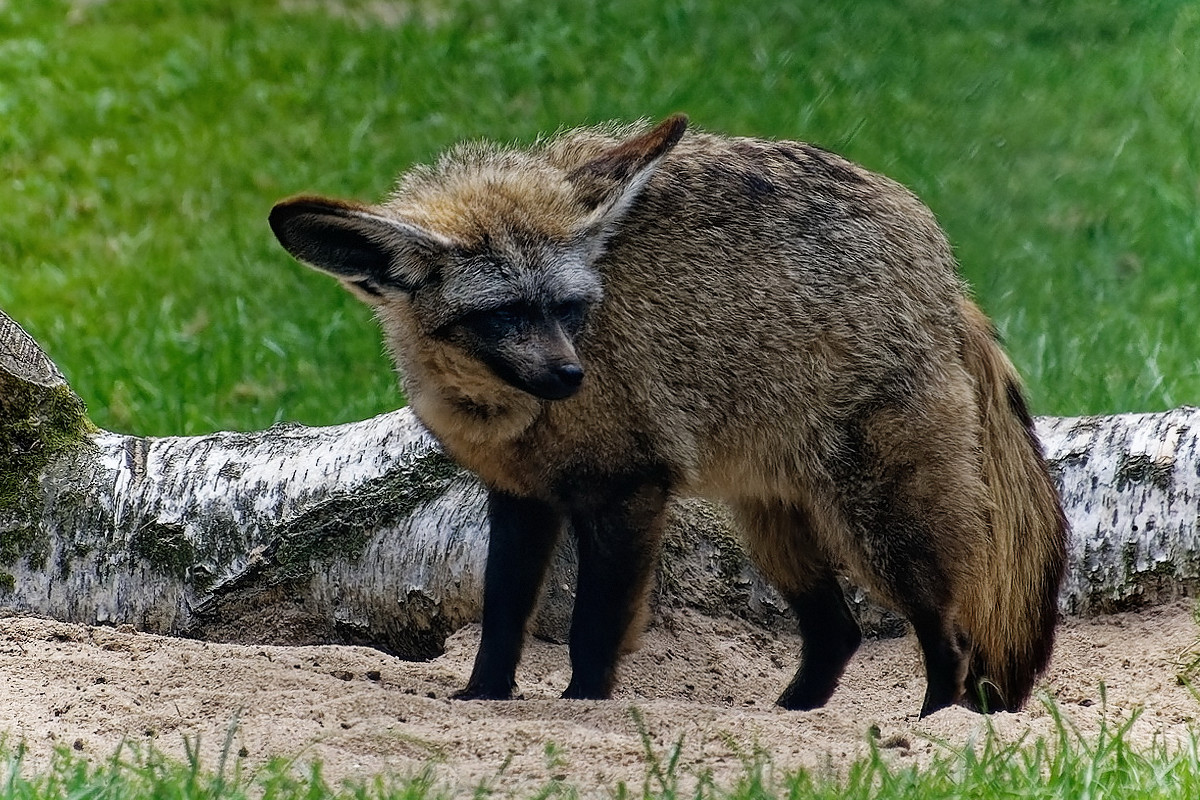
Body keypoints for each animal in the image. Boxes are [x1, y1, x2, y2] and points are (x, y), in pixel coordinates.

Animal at [272, 113, 1070, 719]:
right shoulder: (522, 497)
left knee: (949, 637)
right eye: (501, 317)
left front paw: (584, 705)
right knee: (837, 635)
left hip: (881, 529)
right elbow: (500, 619)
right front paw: (483, 698)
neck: (508, 419)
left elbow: (594, 631)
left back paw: (936, 723)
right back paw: (794, 716)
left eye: (569, 309)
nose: (569, 376)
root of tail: (938, 263)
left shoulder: (630, 490)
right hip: (773, 524)